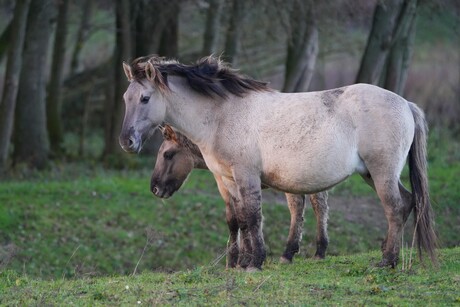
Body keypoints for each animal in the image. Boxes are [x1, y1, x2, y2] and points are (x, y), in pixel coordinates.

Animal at [152, 124, 330, 268]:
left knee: (314, 206)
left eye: (167, 154)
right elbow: (236, 219)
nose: (154, 188)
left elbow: (241, 219)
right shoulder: (226, 186)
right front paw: (235, 260)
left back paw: (314, 251)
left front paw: (242, 260)